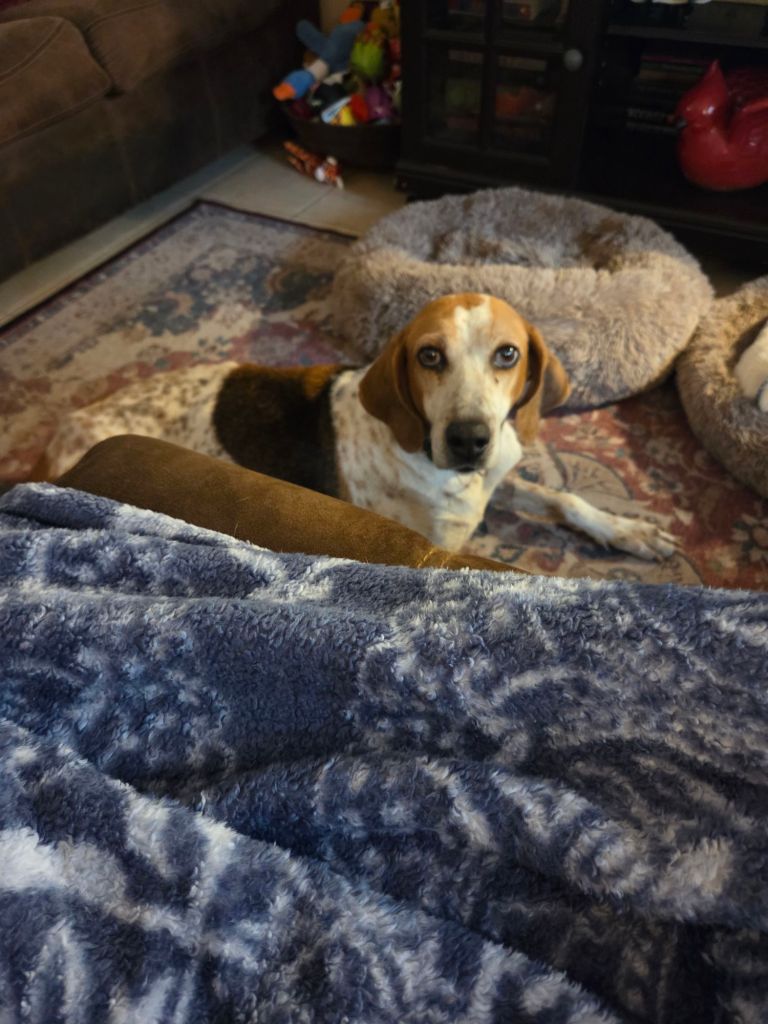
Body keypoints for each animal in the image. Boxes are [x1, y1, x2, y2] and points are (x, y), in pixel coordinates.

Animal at [40, 293, 675, 559]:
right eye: (429, 356)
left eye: (508, 354)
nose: (468, 440)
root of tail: (65, 431)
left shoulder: (499, 473)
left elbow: (564, 498)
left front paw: (629, 531)